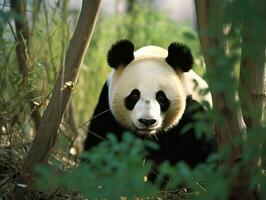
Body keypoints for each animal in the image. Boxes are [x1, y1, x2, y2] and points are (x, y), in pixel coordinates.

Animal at [84, 38, 215, 173]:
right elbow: (100, 145)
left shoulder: (193, 115)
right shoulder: (107, 110)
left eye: (161, 97)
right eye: (134, 95)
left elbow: (199, 154)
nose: (147, 121)